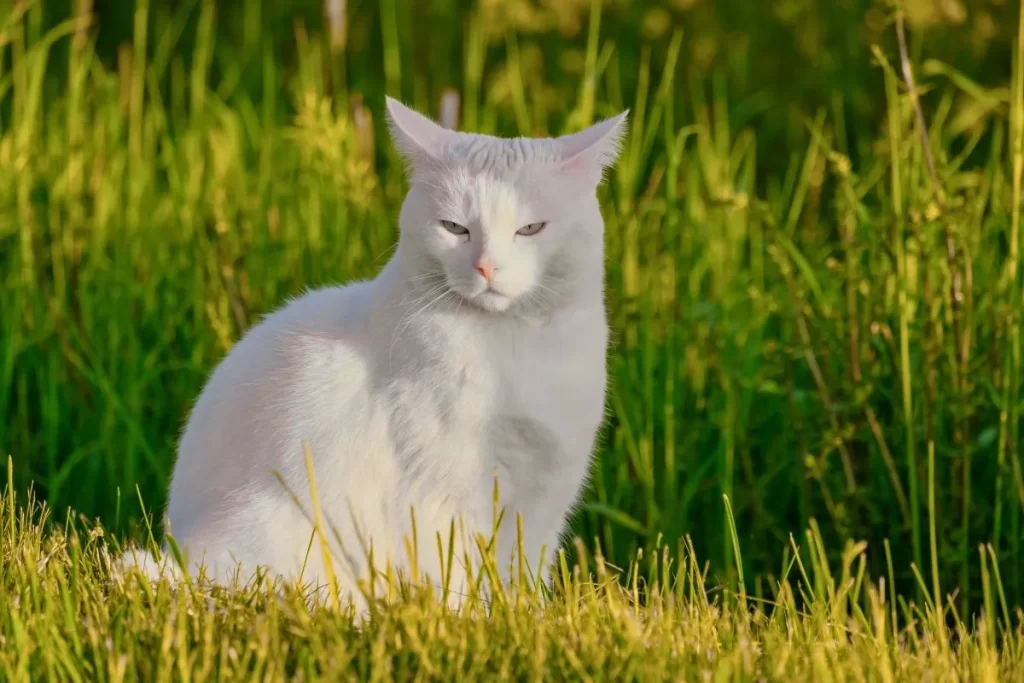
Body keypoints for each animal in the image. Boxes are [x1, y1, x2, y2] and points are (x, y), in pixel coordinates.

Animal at [123, 97, 626, 610]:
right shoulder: (442, 498)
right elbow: (457, 577)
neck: (509, 350)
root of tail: (183, 554)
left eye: (530, 228)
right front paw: (465, 620)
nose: (486, 266)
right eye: (455, 228)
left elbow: (521, 573)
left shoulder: (543, 496)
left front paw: (521, 617)